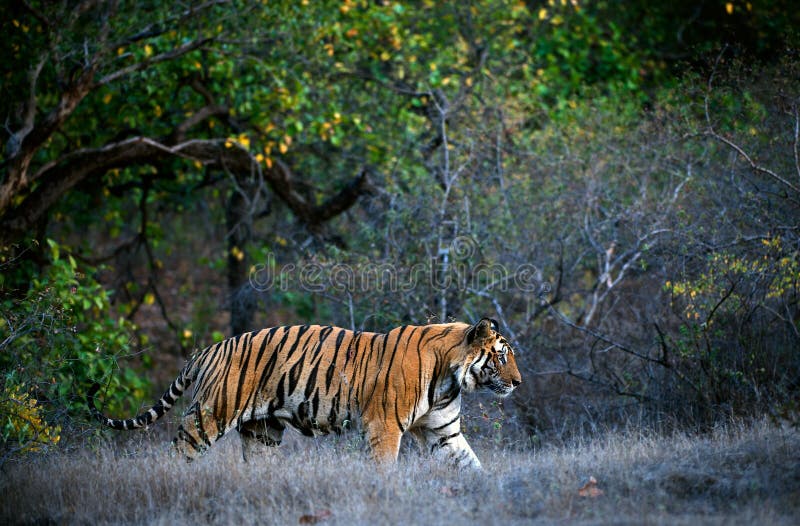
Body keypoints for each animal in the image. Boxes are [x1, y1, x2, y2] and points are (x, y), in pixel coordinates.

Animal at [87, 318, 520, 470]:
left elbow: (472, 466)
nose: (518, 382)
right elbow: (384, 470)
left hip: (262, 432)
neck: (450, 378)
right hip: (210, 415)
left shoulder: (443, 432)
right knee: (178, 453)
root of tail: (209, 348)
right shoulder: (383, 427)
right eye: (501, 356)